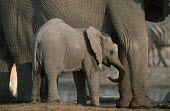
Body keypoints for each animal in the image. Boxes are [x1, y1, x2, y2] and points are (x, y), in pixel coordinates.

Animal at [0, 0, 169, 108]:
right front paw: (146, 105)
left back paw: (13, 100)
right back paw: (32, 101)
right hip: (18, 10)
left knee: (6, 53)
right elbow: (134, 40)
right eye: (110, 52)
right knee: (22, 49)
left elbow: (122, 44)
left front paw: (123, 105)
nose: (110, 75)